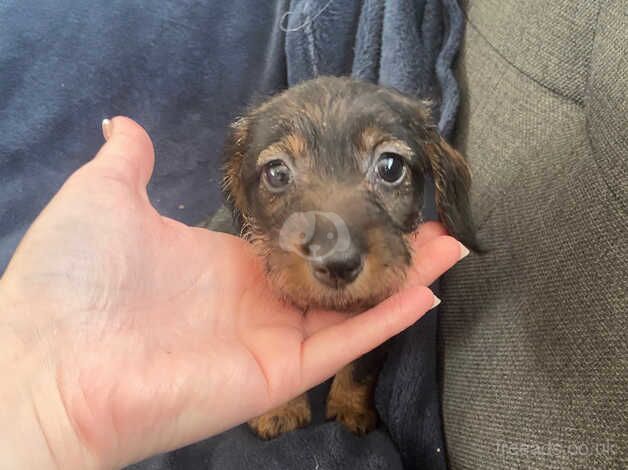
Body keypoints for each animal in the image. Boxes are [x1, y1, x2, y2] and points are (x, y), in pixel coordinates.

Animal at [221, 75, 476, 438]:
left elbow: (360, 365)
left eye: (391, 167)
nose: (337, 263)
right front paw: (281, 409)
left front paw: (349, 408)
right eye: (277, 173)